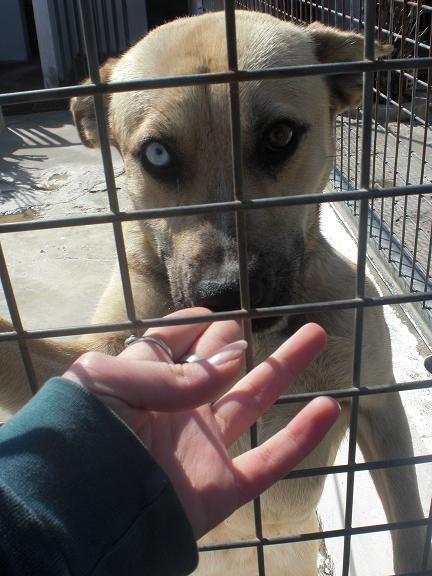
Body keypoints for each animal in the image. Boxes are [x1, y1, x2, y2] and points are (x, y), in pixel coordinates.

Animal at [0, 11, 428, 572]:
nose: (226, 294)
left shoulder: (378, 398)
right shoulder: (95, 356)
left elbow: (408, 525)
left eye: (279, 136)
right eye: (157, 154)